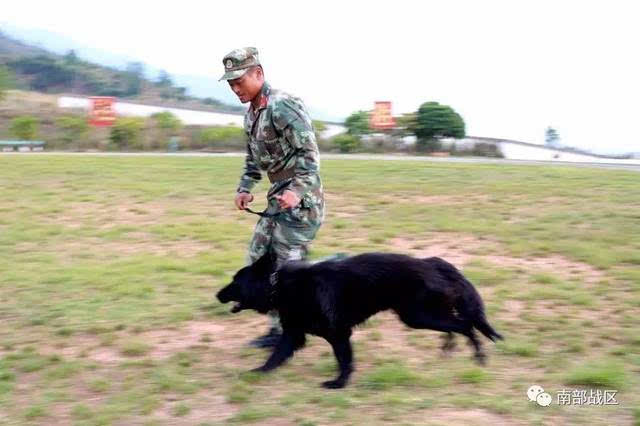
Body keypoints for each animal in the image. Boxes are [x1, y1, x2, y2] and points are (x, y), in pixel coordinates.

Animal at [218, 253, 502, 390]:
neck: (277, 285)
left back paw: (478, 356)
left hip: (417, 316)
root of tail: (432, 263)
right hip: (421, 315)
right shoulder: (294, 333)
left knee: (465, 325)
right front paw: (258, 373)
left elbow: (344, 359)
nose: (217, 294)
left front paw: (339, 383)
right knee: (456, 326)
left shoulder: (338, 333)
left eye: (235, 281)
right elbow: (276, 356)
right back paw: (449, 348)